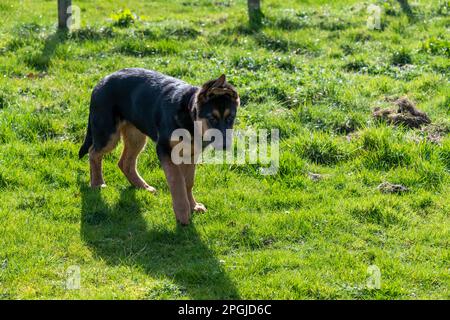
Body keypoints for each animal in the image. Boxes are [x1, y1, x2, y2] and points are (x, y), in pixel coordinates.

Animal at [78, 69, 239, 225]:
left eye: (230, 118)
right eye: (212, 118)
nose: (226, 146)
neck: (189, 116)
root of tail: (101, 82)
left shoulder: (190, 155)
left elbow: (188, 183)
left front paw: (193, 206)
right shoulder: (165, 150)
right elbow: (177, 182)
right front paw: (183, 215)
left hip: (136, 137)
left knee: (125, 163)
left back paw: (142, 186)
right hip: (108, 135)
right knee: (93, 153)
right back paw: (98, 183)